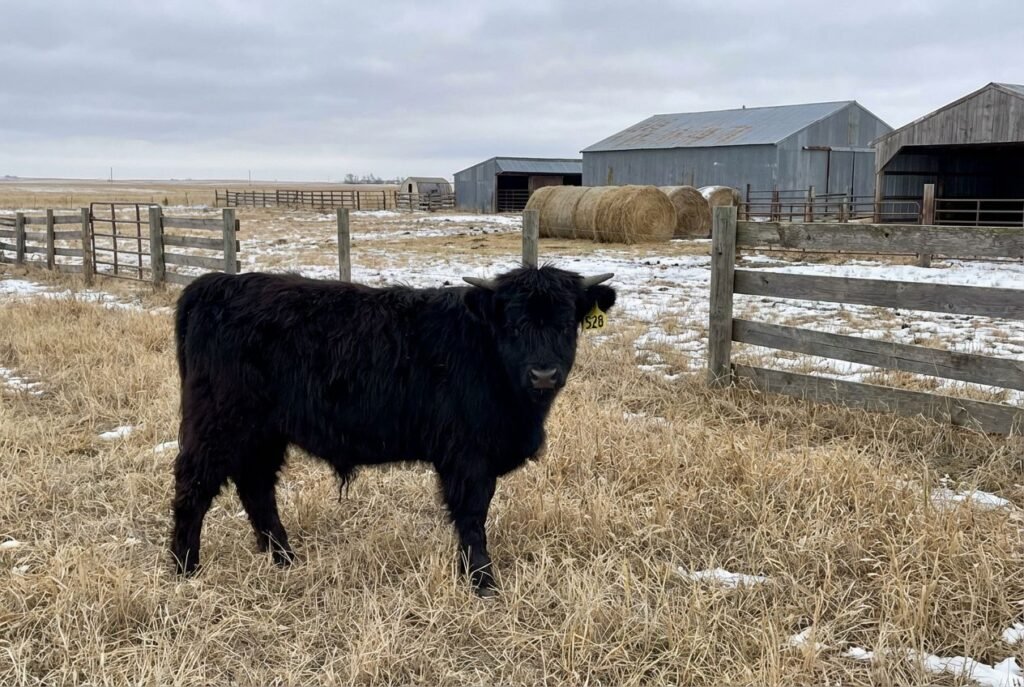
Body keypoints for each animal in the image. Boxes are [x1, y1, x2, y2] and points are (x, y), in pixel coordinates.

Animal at [169, 265, 616, 596]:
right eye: (514, 324)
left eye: (567, 323)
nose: (544, 374)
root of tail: (216, 283)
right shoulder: (468, 457)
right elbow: (473, 516)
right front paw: (482, 582)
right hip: (218, 424)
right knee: (194, 487)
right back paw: (184, 567)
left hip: (263, 433)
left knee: (256, 487)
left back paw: (283, 557)